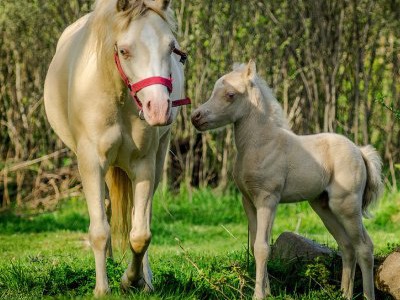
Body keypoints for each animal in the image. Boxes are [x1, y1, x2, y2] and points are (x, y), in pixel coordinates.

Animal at [43, 0, 189, 296]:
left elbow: (140, 234)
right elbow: (100, 230)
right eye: (124, 50)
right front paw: (102, 289)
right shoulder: (91, 164)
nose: (159, 109)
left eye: (171, 47)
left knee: (140, 218)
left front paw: (131, 280)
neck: (118, 97)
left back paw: (146, 279)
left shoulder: (143, 165)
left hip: (157, 159)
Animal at [191, 59, 384, 298]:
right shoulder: (249, 201)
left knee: (364, 246)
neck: (260, 144)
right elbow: (255, 245)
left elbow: (262, 247)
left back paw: (366, 295)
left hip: (347, 205)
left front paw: (259, 295)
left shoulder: (268, 199)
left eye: (230, 94)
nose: (195, 117)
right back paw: (344, 294)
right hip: (323, 206)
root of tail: (359, 151)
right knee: (347, 246)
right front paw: (267, 291)